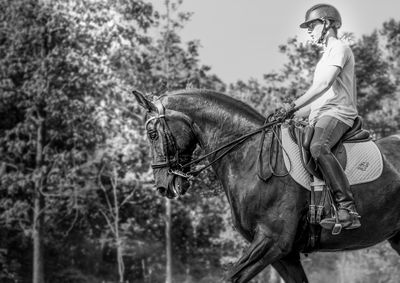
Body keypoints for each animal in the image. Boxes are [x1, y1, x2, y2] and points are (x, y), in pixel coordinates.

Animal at [134, 89, 400, 283]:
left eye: (152, 134)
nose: (163, 186)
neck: (249, 156)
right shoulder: (285, 256)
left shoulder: (272, 241)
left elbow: (230, 278)